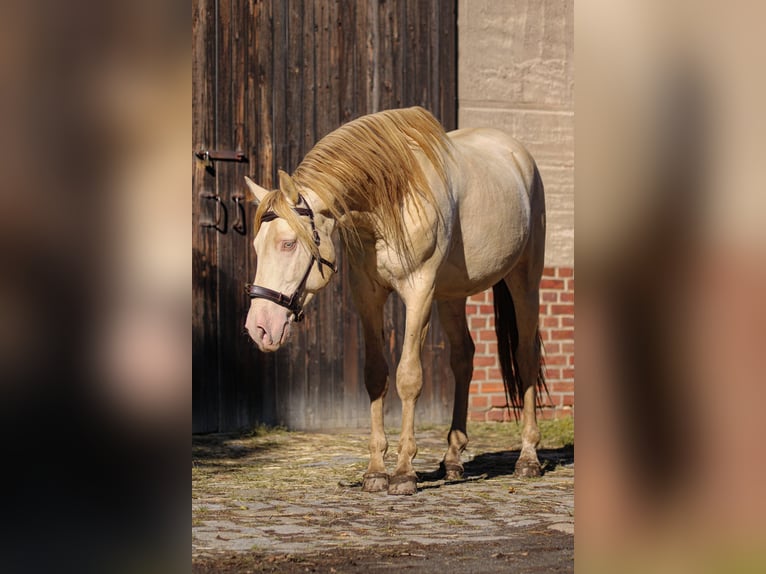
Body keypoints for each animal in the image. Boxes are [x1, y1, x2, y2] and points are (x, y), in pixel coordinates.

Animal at [243, 110, 548, 498]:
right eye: (257, 246)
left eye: (288, 243)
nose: (259, 327)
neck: (390, 203)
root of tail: (519, 155)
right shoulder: (367, 294)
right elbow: (376, 376)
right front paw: (376, 471)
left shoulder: (419, 292)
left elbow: (409, 377)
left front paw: (403, 472)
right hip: (452, 294)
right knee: (463, 358)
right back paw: (452, 460)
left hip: (525, 280)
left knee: (526, 357)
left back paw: (528, 457)